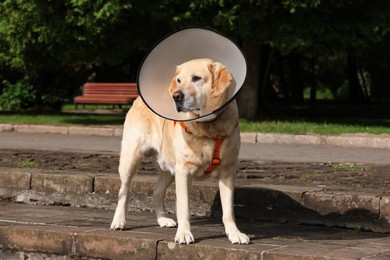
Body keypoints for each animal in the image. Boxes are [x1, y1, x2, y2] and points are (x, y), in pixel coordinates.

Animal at [110, 58, 250, 245]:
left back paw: (163, 219)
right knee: (123, 192)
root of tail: (139, 98)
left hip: (169, 169)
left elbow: (228, 211)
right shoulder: (184, 171)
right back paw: (119, 221)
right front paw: (184, 234)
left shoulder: (228, 172)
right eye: (178, 80)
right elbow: (184, 207)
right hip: (130, 159)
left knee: (156, 192)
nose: (176, 96)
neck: (208, 128)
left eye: (197, 78)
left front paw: (235, 233)